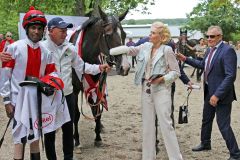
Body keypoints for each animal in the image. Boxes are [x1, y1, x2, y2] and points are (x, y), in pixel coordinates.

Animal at [69, 6, 129, 147]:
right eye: (108, 35)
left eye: (124, 34)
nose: (125, 67)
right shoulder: (74, 89)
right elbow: (76, 115)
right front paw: (76, 139)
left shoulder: (98, 86)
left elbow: (96, 110)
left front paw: (97, 137)